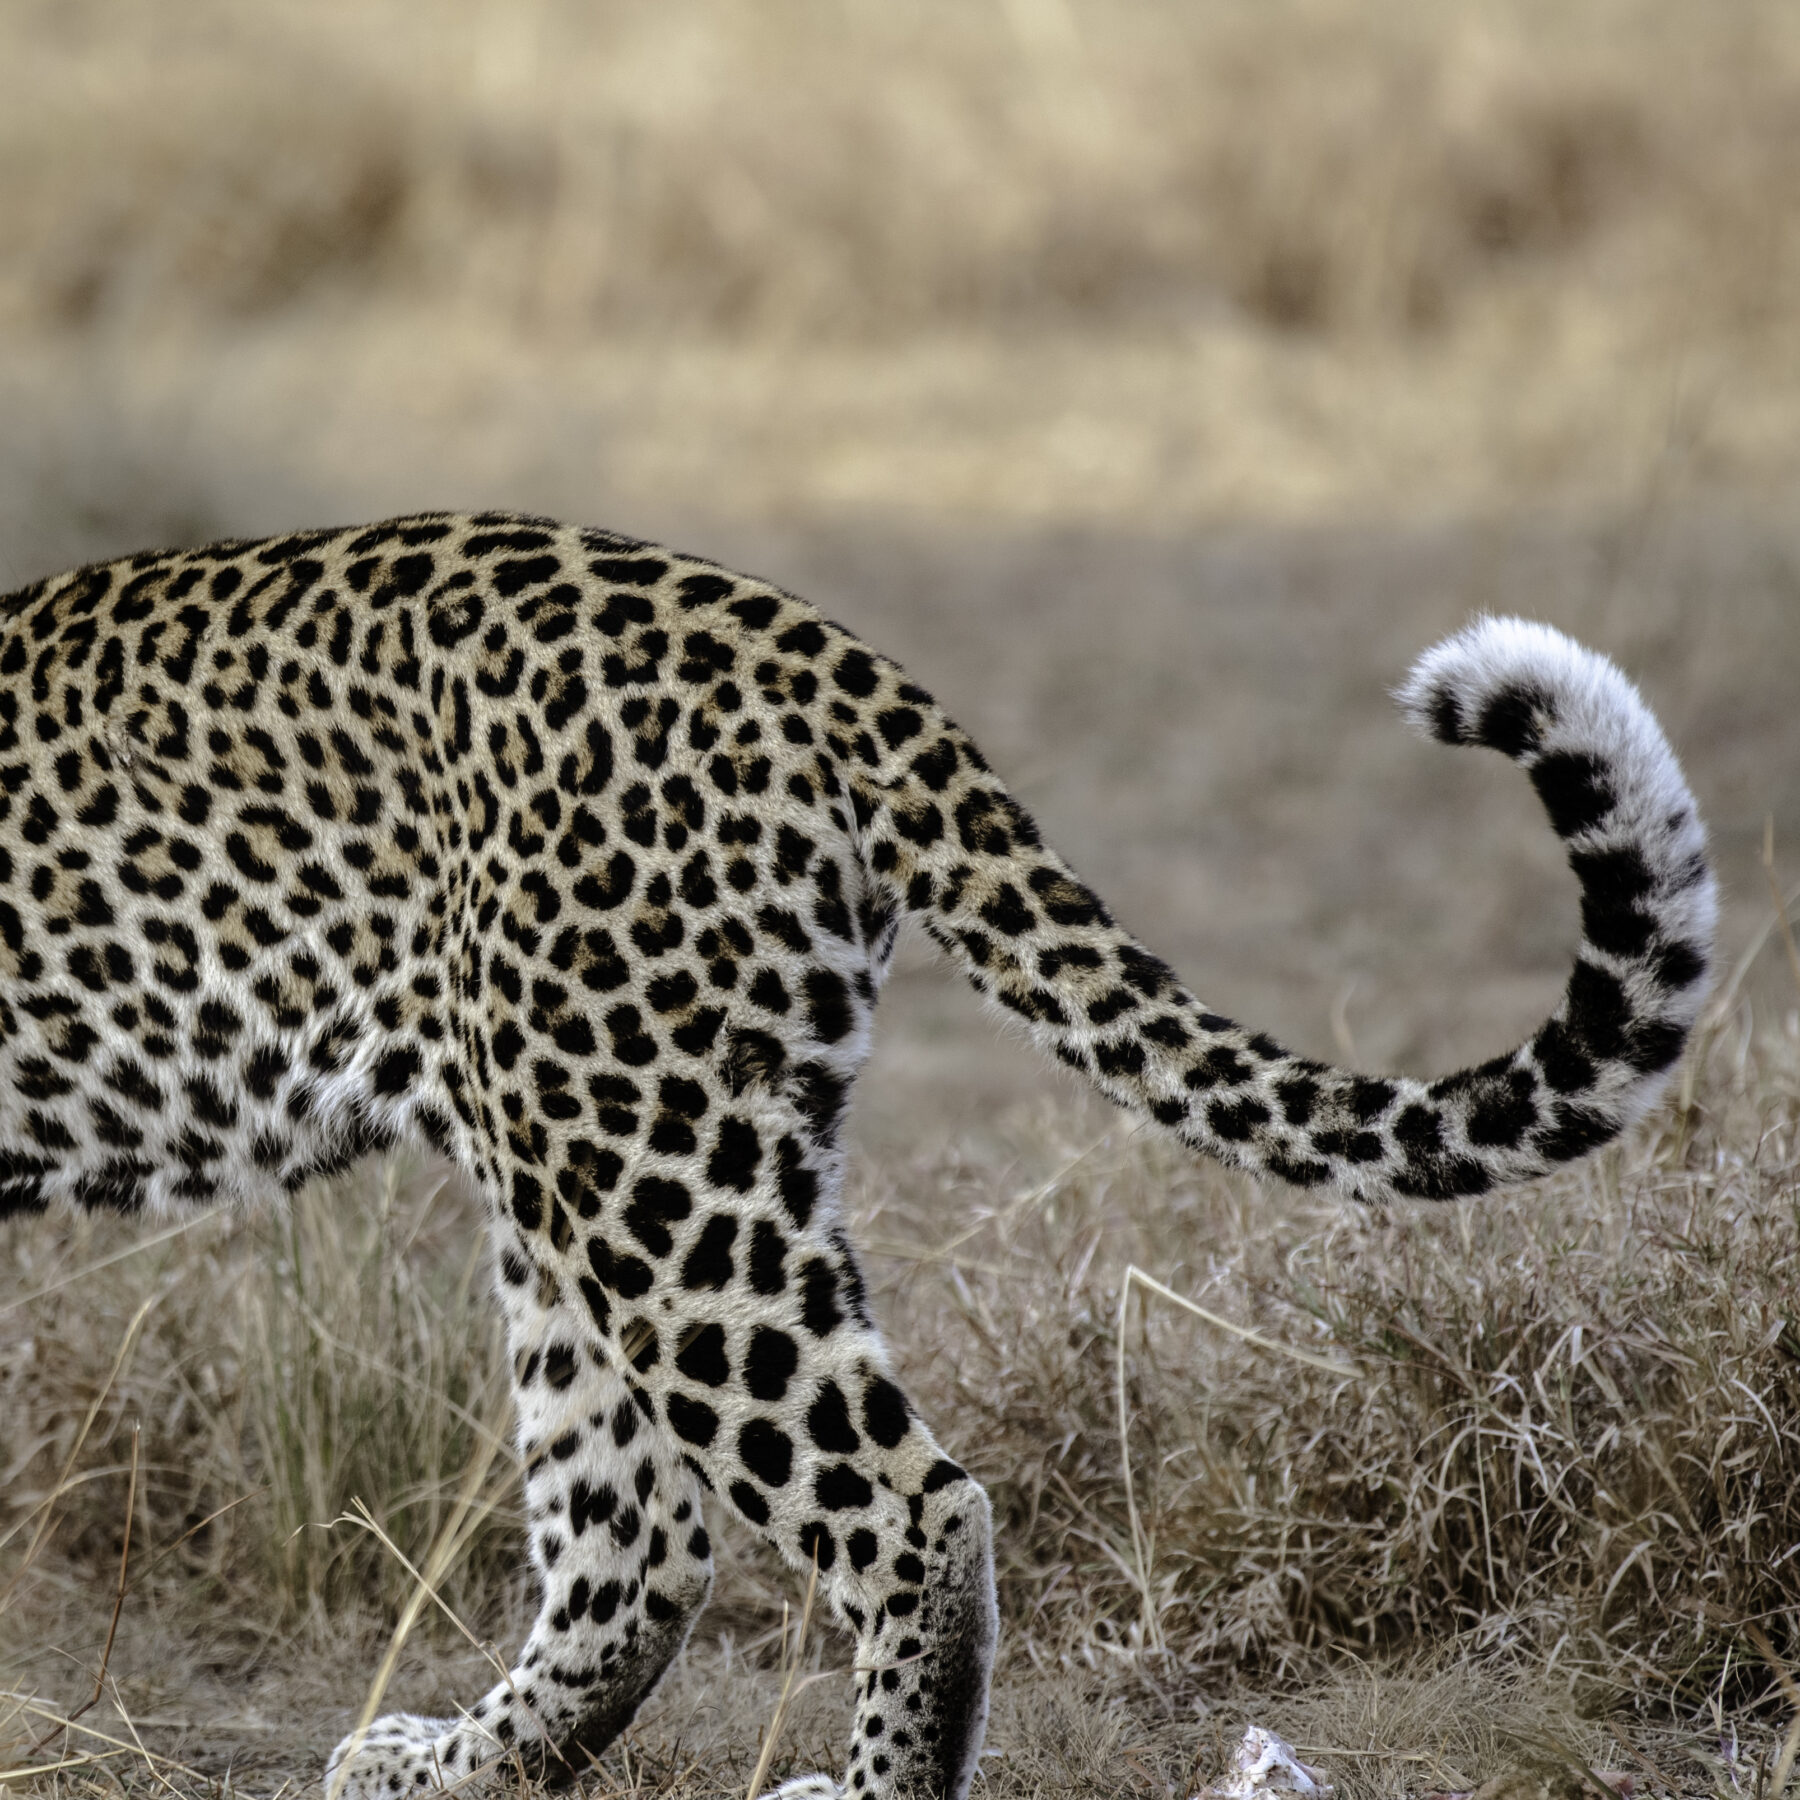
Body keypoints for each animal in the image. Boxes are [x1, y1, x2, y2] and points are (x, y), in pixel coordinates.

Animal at [0, 511, 1716, 1800]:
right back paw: (441, 1766)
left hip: (641, 1161)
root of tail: (799, 637)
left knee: (901, 1509)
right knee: (642, 1542)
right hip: (608, 1150)